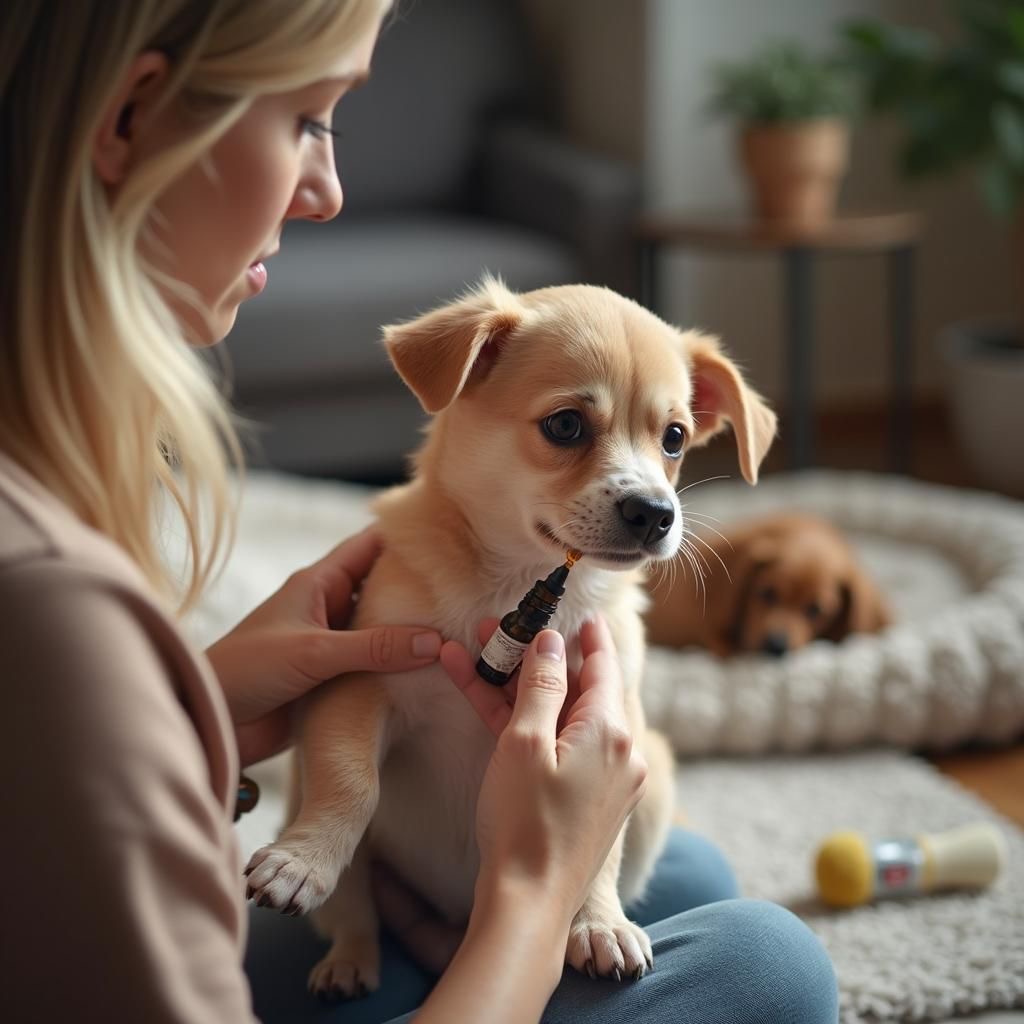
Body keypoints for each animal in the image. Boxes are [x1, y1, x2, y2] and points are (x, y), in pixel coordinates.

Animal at [243, 276, 774, 995]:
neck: (513, 583)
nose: (657, 513)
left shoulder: (614, 732)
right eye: (565, 425)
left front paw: (598, 923)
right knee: (355, 910)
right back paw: (349, 960)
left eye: (674, 438)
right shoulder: (360, 686)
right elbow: (352, 782)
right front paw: (301, 862)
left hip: (658, 792)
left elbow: (599, 851)